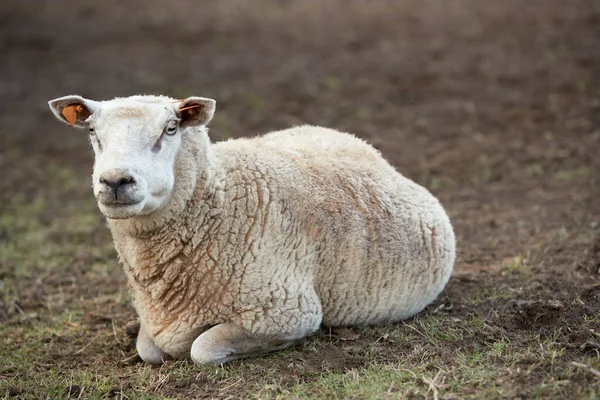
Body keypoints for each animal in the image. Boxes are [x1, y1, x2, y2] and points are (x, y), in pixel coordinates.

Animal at [49, 94, 458, 366]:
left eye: (170, 128)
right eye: (92, 131)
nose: (115, 181)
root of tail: (360, 143)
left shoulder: (287, 310)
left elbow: (202, 349)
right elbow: (148, 350)